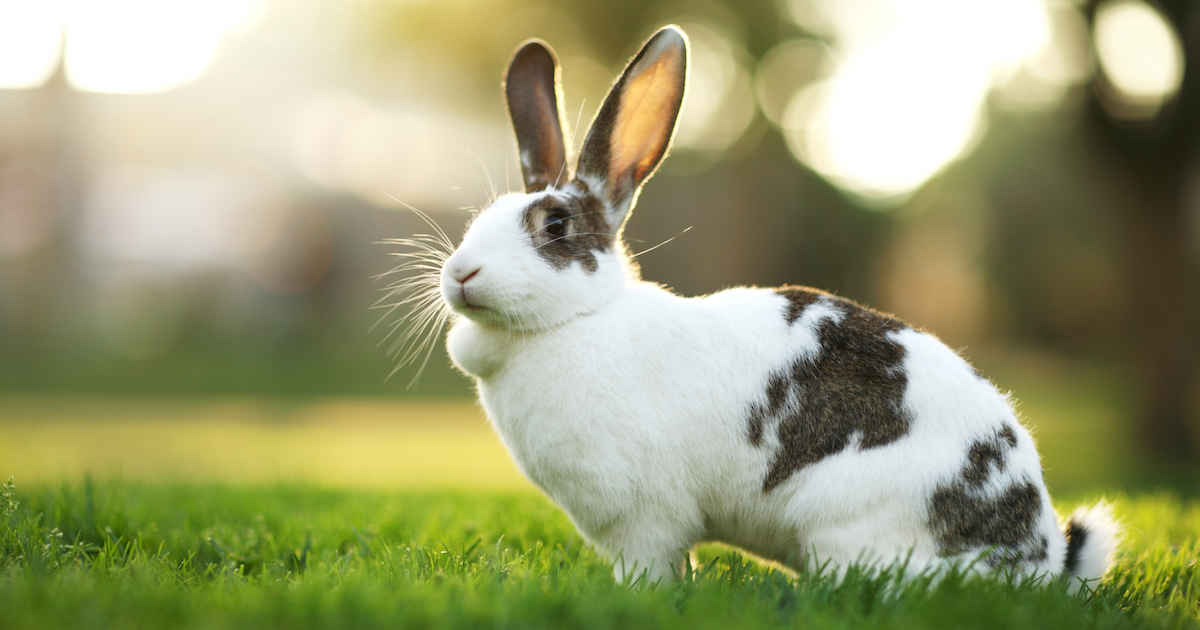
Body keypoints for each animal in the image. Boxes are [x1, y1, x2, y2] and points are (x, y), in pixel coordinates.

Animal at [436, 23, 1118, 585]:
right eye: (480, 217)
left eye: (555, 225)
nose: (461, 272)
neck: (578, 321)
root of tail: (1035, 556)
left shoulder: (643, 522)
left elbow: (651, 569)